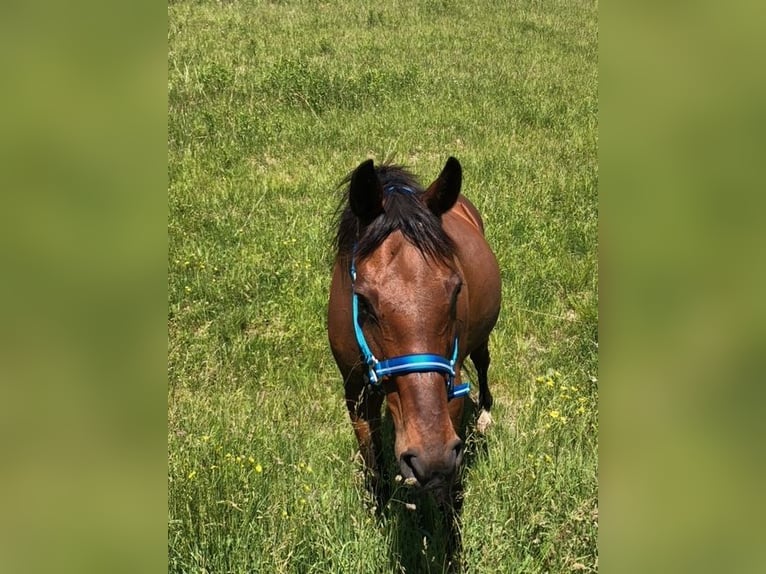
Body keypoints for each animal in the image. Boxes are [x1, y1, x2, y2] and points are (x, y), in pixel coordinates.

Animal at [328, 155, 500, 506]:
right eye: (363, 301)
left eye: (456, 289)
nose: (429, 456)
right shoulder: (355, 393)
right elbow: (372, 459)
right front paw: (377, 503)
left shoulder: (451, 391)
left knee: (483, 363)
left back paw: (485, 414)